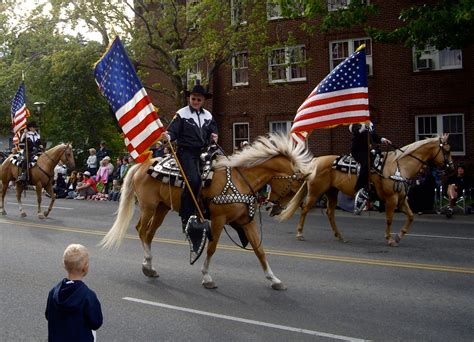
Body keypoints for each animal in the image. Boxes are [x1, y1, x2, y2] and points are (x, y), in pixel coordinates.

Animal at [100, 133, 312, 288]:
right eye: (293, 188)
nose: (275, 209)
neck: (241, 180)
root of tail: (141, 165)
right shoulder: (218, 219)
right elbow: (211, 247)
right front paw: (207, 277)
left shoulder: (247, 221)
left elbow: (259, 250)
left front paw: (274, 279)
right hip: (148, 206)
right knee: (142, 230)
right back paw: (147, 264)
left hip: (162, 208)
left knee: (150, 233)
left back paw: (150, 268)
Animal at [274, 136, 452, 246]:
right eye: (447, 150)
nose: (451, 168)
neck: (400, 166)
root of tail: (315, 162)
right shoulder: (391, 199)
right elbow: (389, 219)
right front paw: (389, 239)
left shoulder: (402, 199)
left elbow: (411, 216)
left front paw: (399, 236)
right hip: (315, 192)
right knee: (304, 209)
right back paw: (299, 234)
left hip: (332, 192)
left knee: (330, 213)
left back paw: (340, 236)